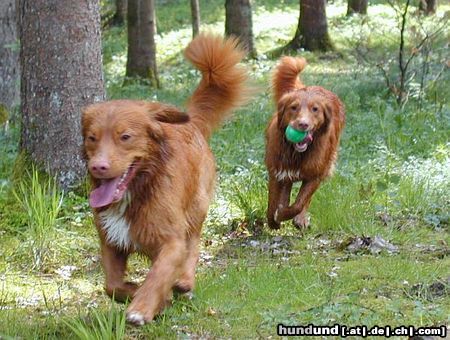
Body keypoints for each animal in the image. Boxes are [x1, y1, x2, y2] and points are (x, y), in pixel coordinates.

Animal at [81, 33, 250, 324]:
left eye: (125, 137)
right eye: (92, 138)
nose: (98, 167)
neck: (137, 190)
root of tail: (192, 123)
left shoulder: (171, 241)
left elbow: (158, 276)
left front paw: (142, 307)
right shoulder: (111, 241)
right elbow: (112, 286)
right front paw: (140, 293)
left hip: (196, 209)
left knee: (193, 246)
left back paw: (184, 282)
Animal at [266, 56, 346, 228]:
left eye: (315, 109)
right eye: (293, 107)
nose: (303, 124)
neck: (295, 152)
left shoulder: (316, 174)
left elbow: (299, 203)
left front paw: (284, 214)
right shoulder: (277, 171)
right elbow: (272, 202)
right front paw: (273, 220)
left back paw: (299, 218)